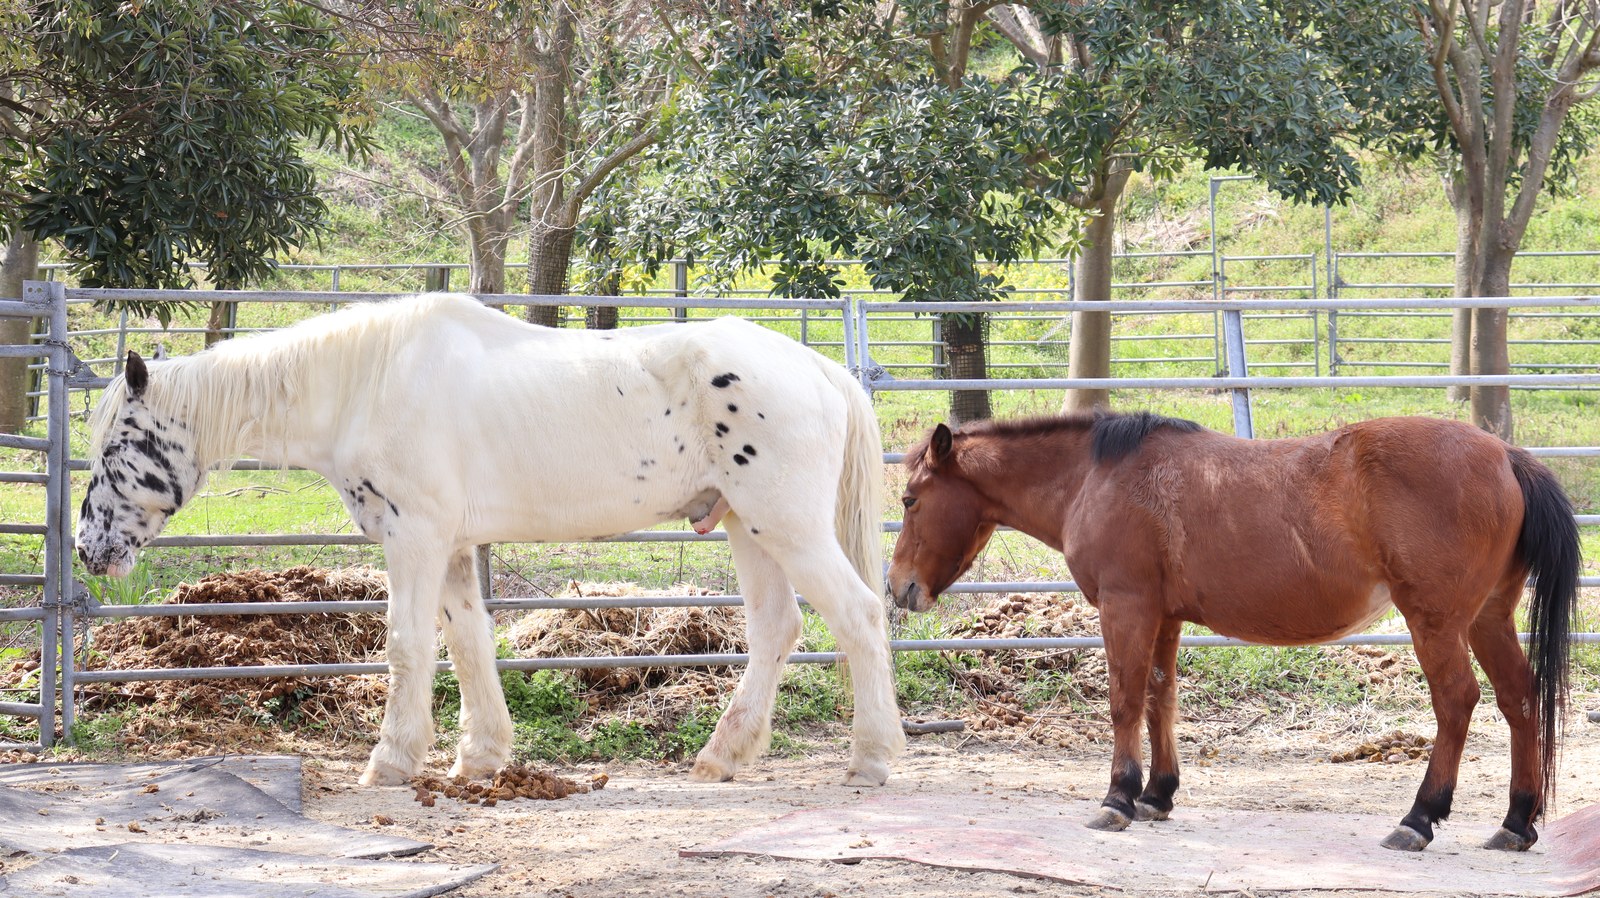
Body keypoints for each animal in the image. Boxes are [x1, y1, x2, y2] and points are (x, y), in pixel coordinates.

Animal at [76, 293, 905, 788]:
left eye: (116, 445)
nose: (89, 550)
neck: (367, 383)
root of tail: (821, 370)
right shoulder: (448, 547)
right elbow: (468, 643)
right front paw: (479, 757)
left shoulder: (413, 538)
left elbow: (408, 646)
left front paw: (389, 762)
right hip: (746, 526)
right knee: (777, 629)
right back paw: (722, 756)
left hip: (785, 525)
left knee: (858, 617)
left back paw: (871, 758)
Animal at [887, 411, 1579, 853]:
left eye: (910, 499)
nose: (900, 588)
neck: (1097, 477)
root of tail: (1505, 454)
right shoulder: (1163, 616)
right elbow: (1159, 698)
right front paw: (1157, 795)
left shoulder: (1126, 607)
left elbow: (1123, 700)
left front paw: (1117, 799)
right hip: (1488, 618)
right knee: (1519, 700)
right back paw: (1516, 822)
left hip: (1436, 623)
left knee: (1458, 701)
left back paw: (1420, 818)